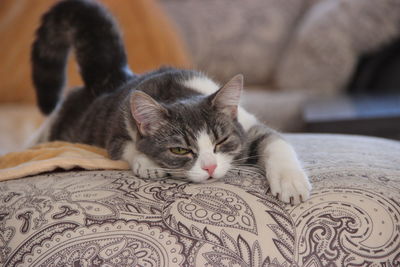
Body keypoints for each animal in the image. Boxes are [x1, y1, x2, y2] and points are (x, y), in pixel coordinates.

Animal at [32, 0, 312, 205]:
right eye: (179, 150)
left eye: (221, 141)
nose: (210, 167)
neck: (179, 90)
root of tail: (115, 76)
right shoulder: (116, 132)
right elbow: (125, 147)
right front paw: (147, 163)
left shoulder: (247, 125)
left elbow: (275, 141)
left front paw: (290, 181)